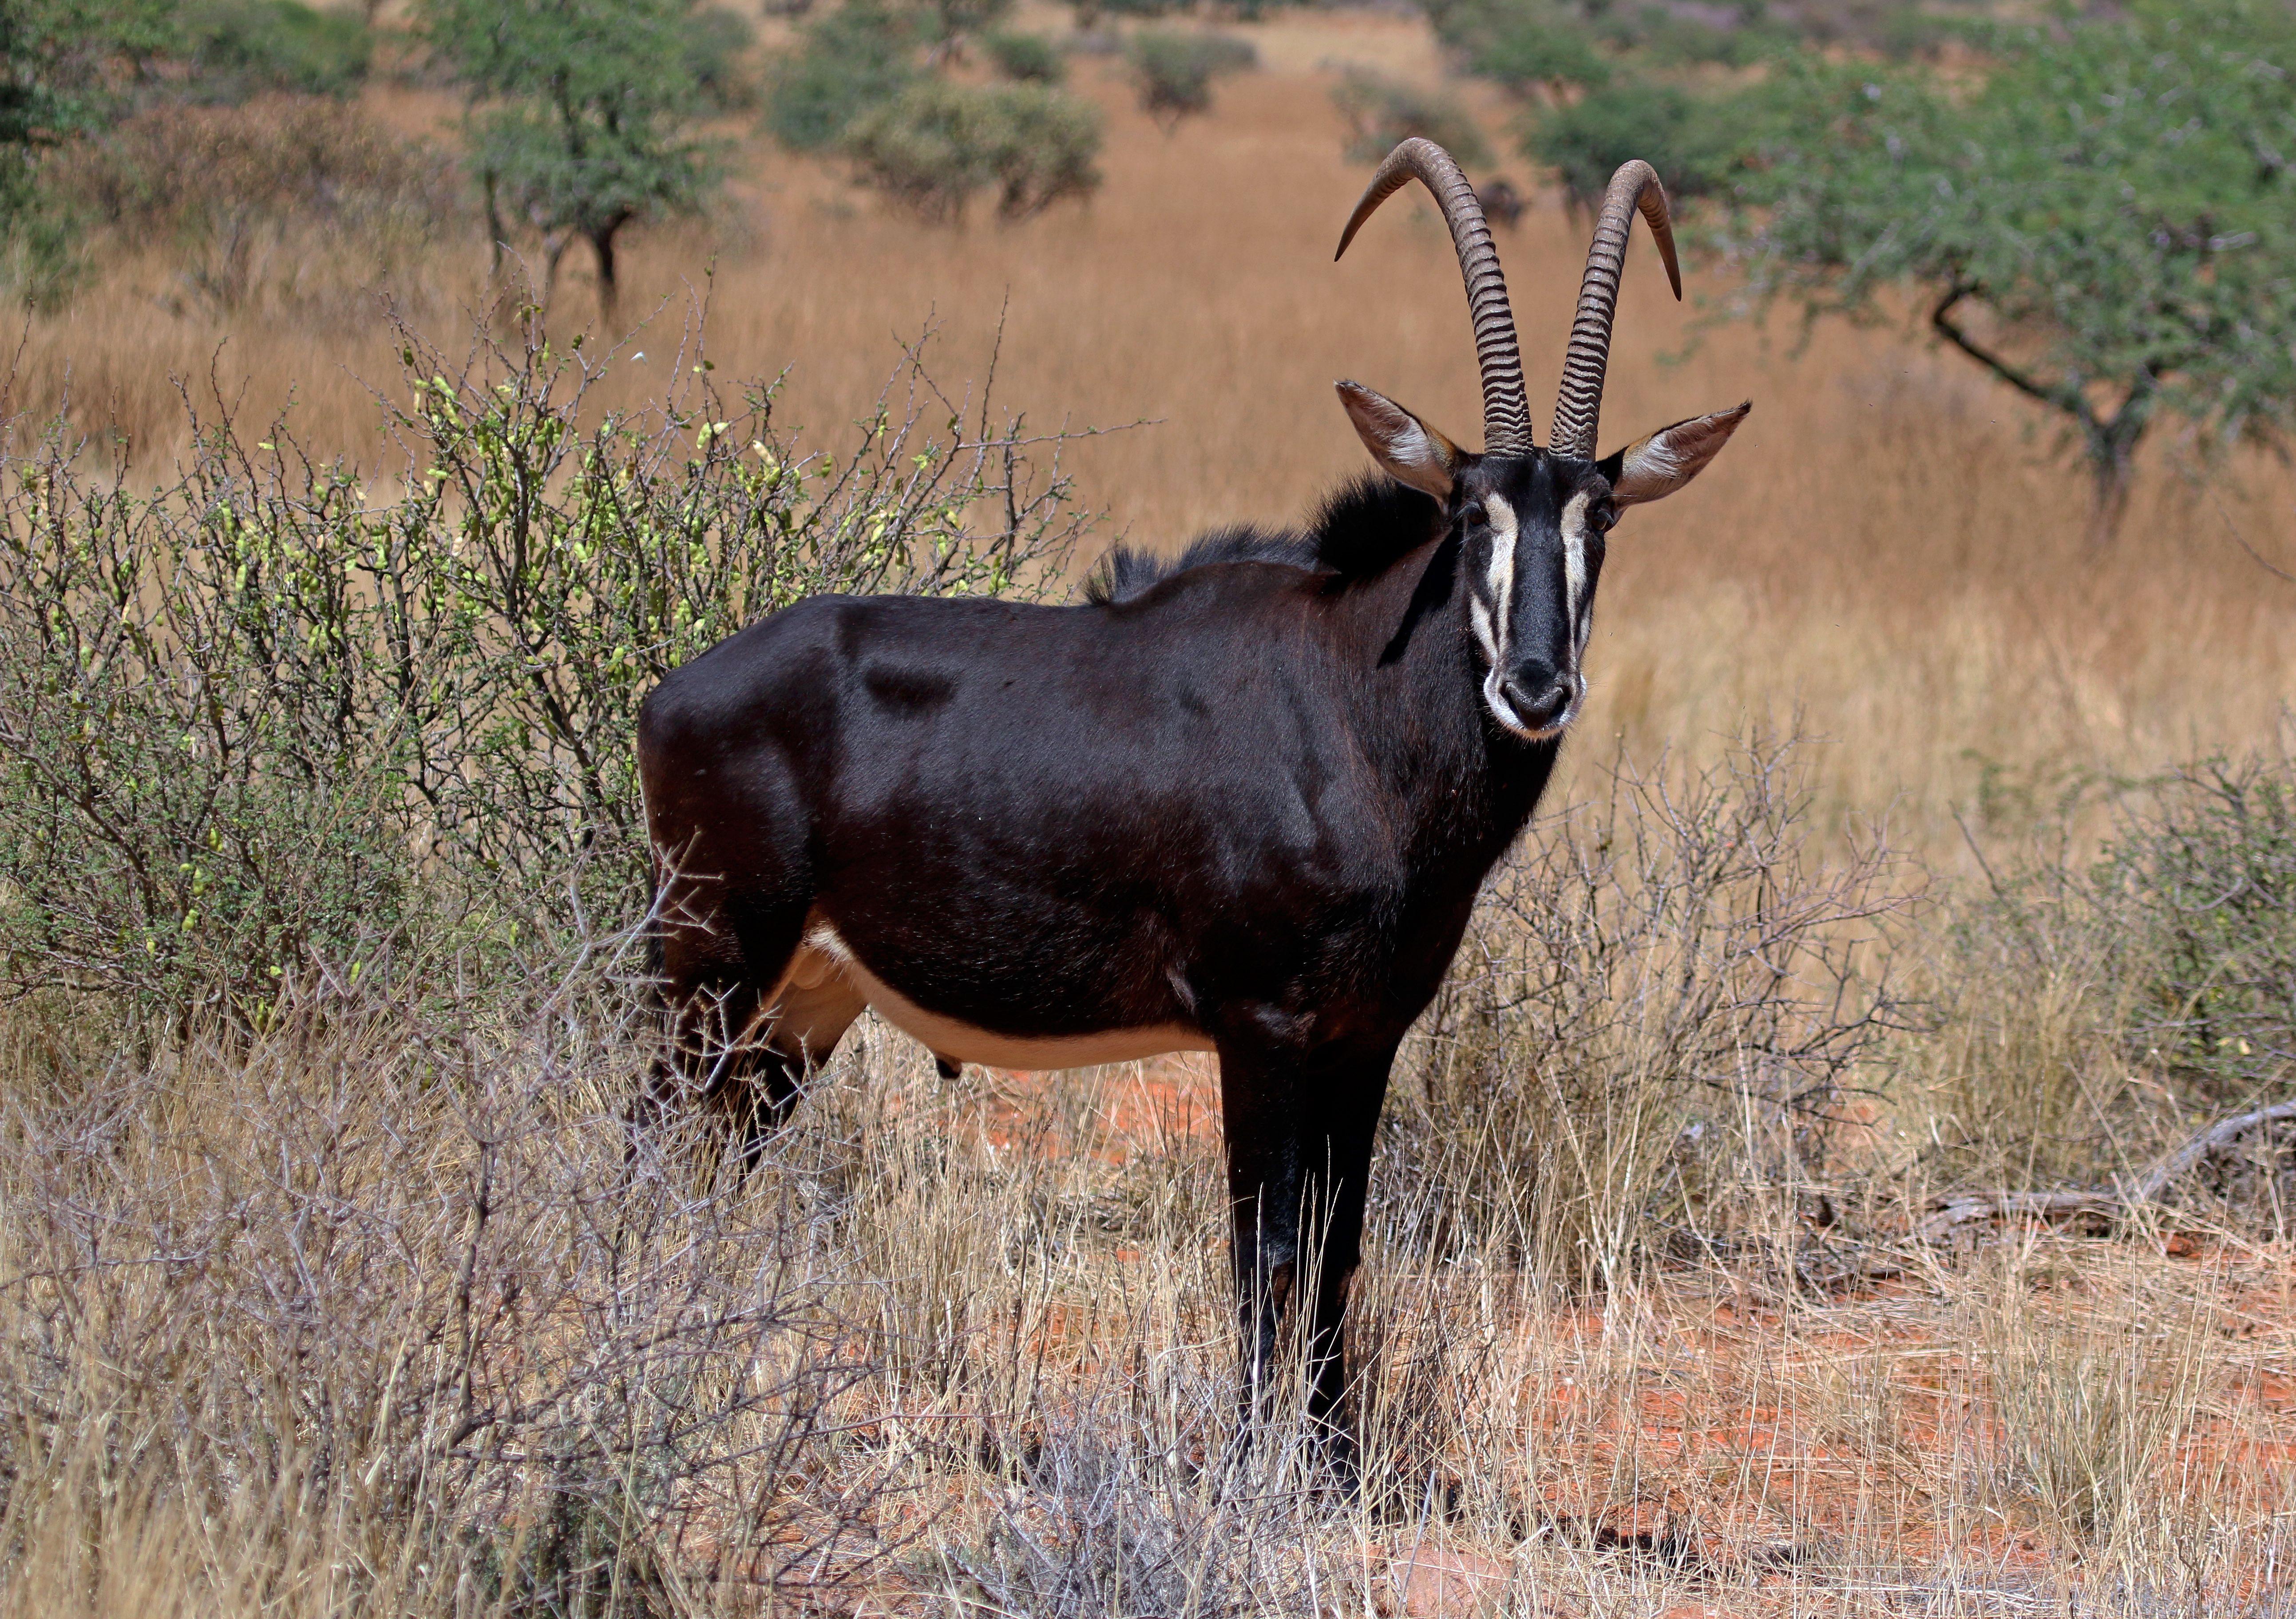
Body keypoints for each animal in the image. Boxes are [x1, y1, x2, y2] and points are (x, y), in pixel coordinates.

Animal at [638, 135, 1745, 1451]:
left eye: (1601, 516)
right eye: (1471, 511)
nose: (1534, 684)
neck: (1352, 706)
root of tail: (673, 693)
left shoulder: (1364, 1035)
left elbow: (1337, 1250)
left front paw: (1331, 1460)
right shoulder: (1262, 1028)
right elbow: (1264, 1252)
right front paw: (1257, 1466)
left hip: (803, 1001)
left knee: (712, 1161)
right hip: (711, 962)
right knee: (652, 1143)